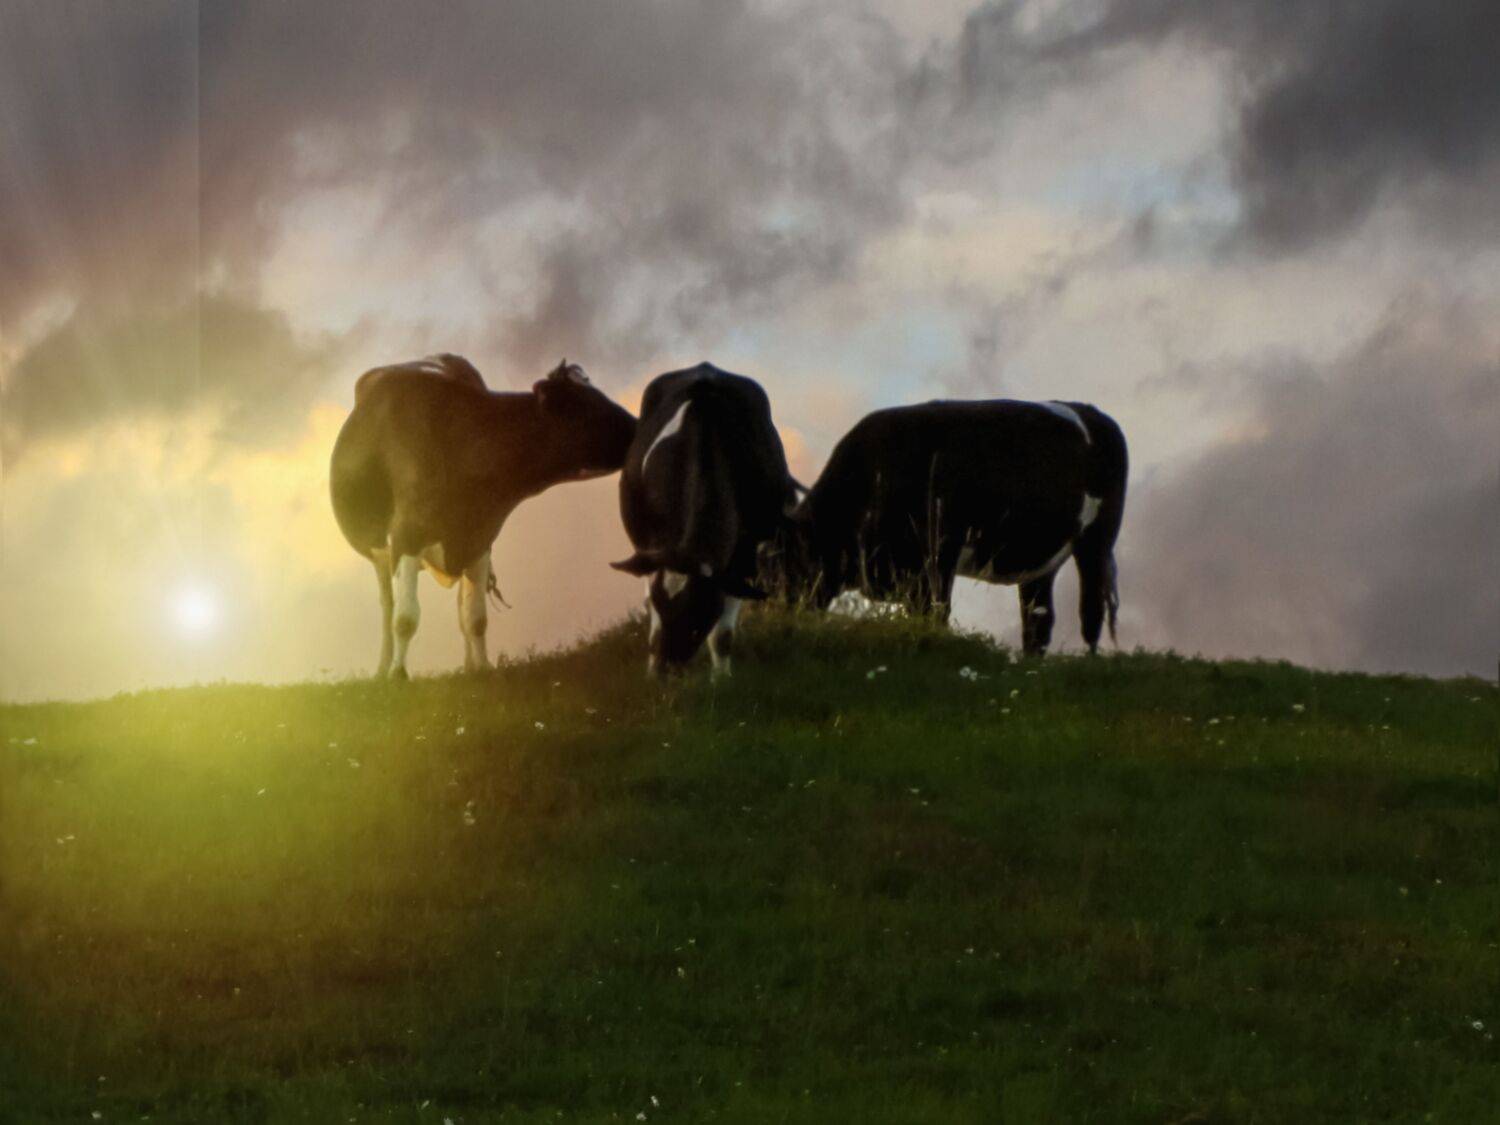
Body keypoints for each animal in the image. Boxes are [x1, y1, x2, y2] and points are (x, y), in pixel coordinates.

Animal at [330, 355, 637, 679]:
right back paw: (382, 669)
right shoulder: (407, 535)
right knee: (388, 604)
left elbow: (475, 618)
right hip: (380, 551)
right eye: (587, 404)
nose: (639, 425)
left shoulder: (480, 539)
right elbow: (405, 618)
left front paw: (482, 670)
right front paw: (398, 675)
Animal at [610, 362, 798, 676]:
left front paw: (721, 680)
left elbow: (723, 636)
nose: (664, 670)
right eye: (660, 604)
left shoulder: (743, 555)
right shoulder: (654, 548)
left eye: (700, 612)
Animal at [768, 399, 1127, 656]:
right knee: (1038, 621)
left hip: (1097, 542)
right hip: (1038, 561)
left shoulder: (939, 554)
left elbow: (934, 614)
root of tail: (1092, 412)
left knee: (1091, 610)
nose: (776, 620)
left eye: (787, 563)